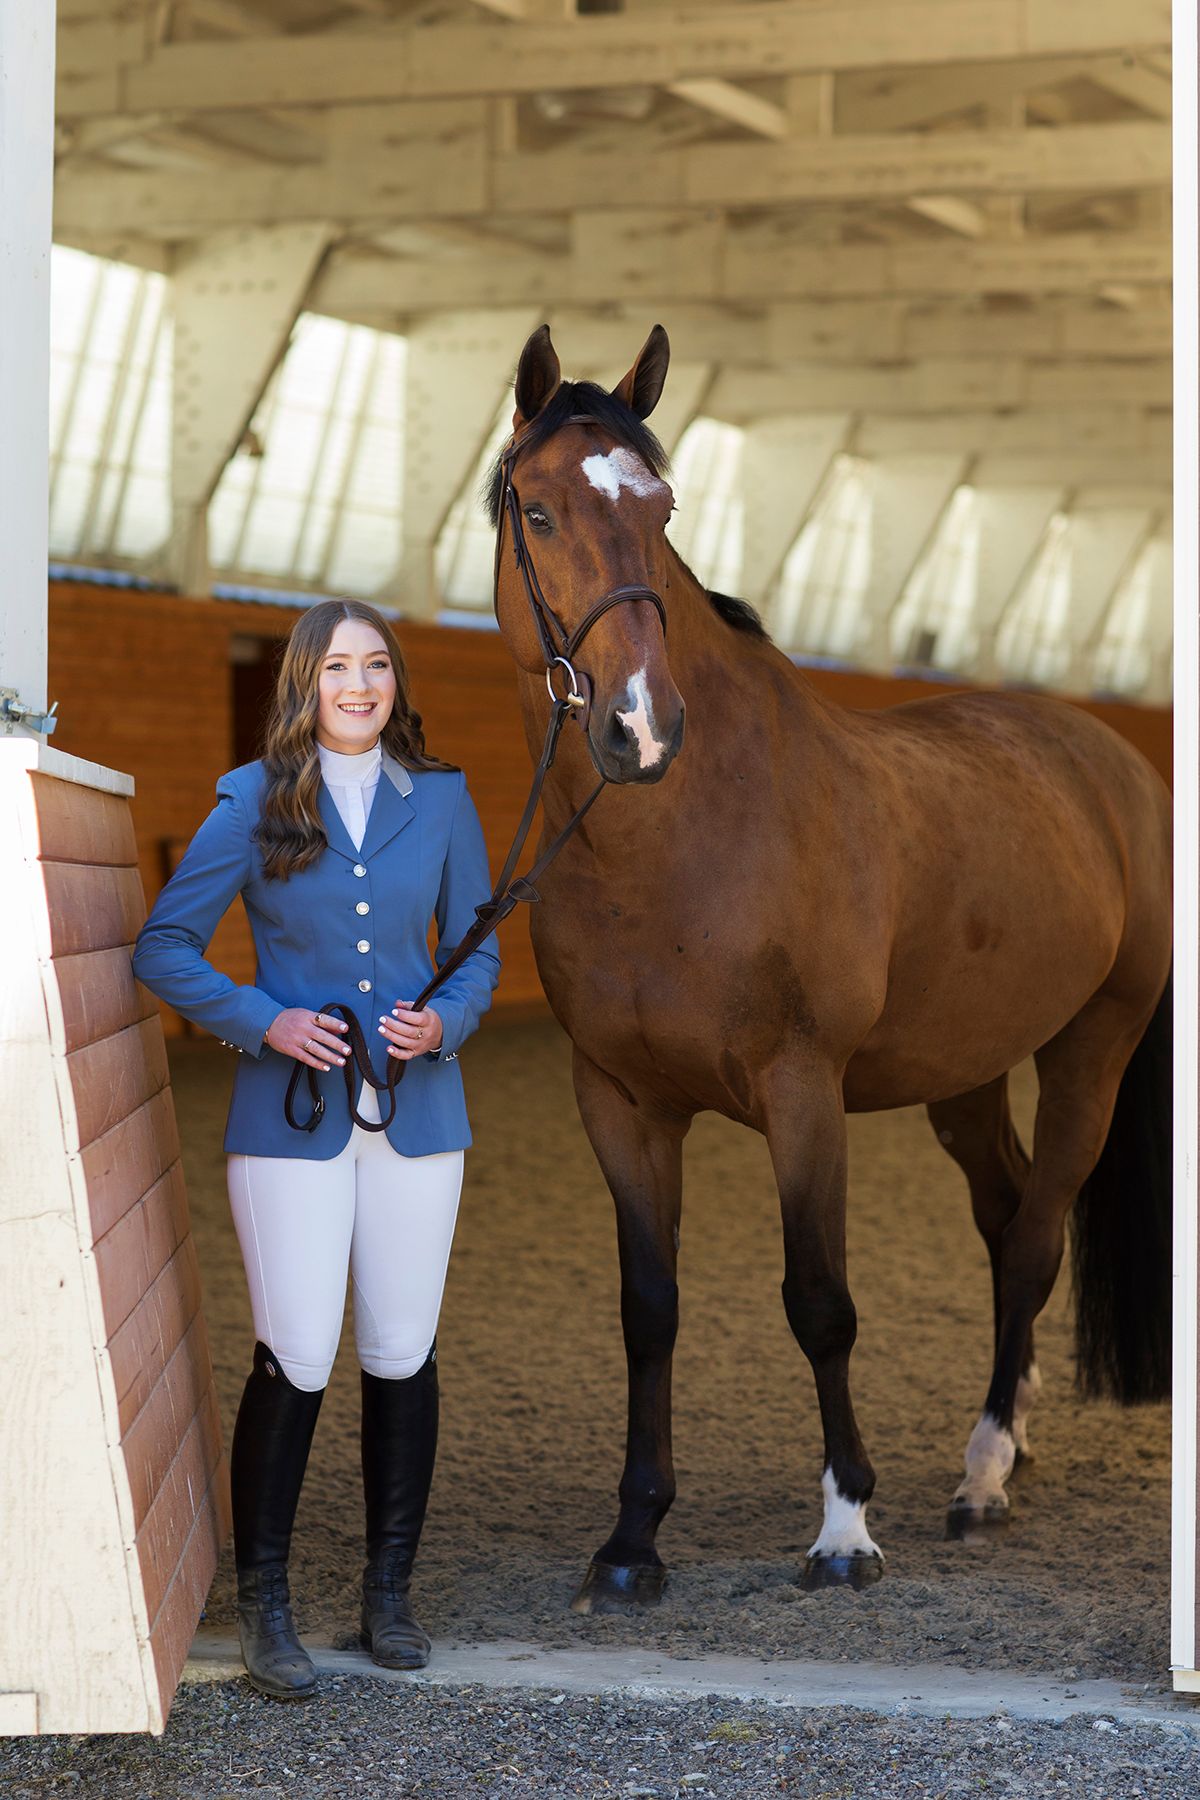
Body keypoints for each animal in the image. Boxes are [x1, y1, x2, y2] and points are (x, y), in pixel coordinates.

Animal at [487, 322, 1173, 1612]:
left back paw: (984, 1474)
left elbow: (820, 1304)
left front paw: (846, 1527)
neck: (684, 837)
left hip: (1091, 1053)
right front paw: (632, 1540)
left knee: (1037, 1237)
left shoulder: (803, 1093)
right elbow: (647, 1310)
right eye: (537, 510)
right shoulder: (621, 1100)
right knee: (1009, 1219)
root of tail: (1111, 762)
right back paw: (1009, 1435)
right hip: (966, 1071)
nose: (639, 728)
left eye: (661, 509)